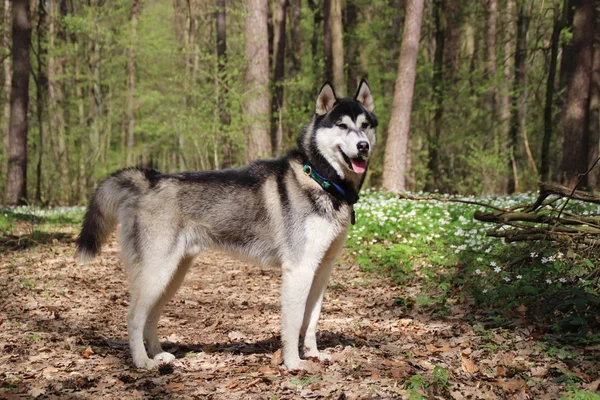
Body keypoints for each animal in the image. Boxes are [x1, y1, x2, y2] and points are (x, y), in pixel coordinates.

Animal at [75, 79, 376, 370]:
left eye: (365, 125)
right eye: (342, 125)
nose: (364, 146)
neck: (321, 179)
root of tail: (149, 180)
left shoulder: (321, 270)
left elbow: (311, 320)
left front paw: (313, 354)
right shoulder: (299, 269)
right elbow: (293, 324)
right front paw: (293, 363)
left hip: (171, 276)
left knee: (151, 317)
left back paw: (158, 354)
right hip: (156, 273)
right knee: (134, 317)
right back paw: (142, 361)